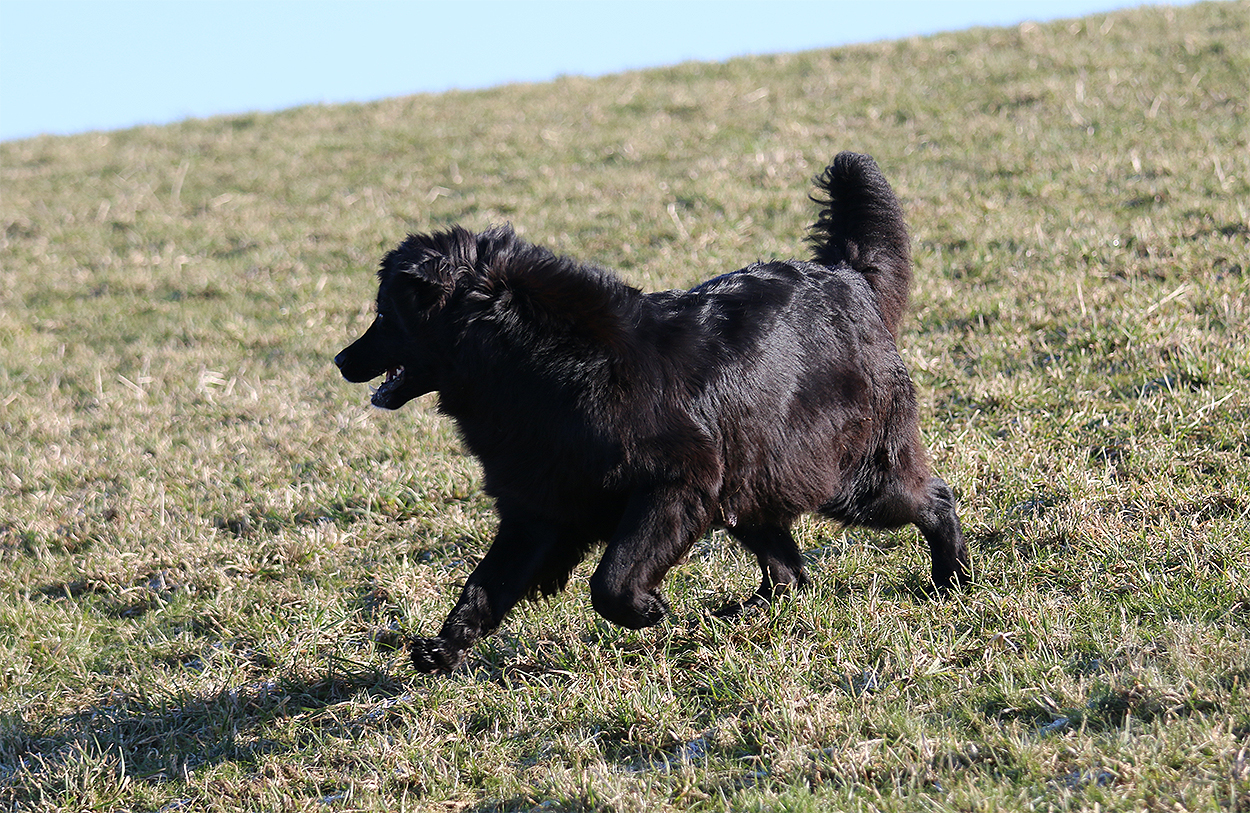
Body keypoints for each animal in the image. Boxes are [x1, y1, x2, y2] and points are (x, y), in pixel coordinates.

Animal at [335, 152, 969, 673]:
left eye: (385, 315)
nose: (341, 360)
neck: (545, 366)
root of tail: (847, 275)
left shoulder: (676, 485)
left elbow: (610, 580)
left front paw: (647, 609)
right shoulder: (540, 510)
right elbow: (484, 586)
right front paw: (443, 649)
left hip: (846, 478)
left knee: (934, 498)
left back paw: (953, 580)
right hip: (753, 481)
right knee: (789, 570)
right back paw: (743, 612)